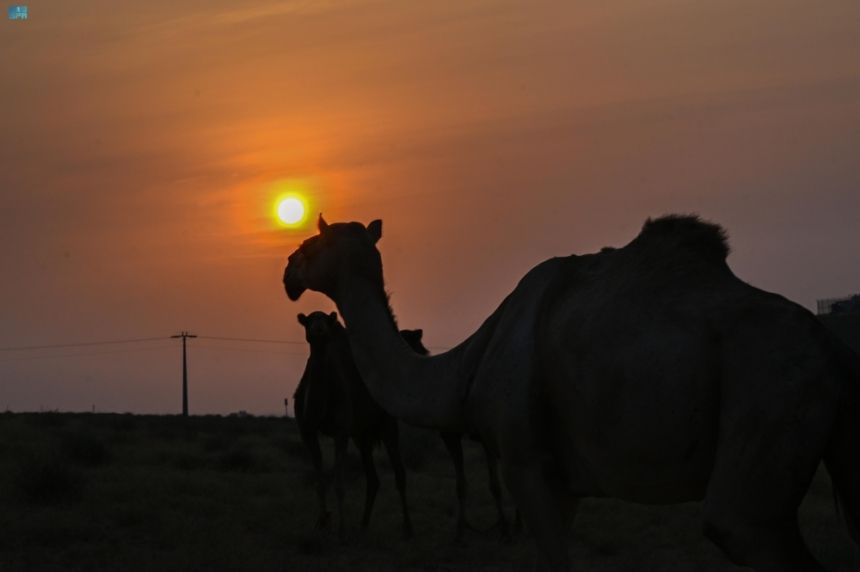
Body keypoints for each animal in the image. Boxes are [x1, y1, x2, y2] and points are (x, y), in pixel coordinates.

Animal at [292, 310, 414, 540]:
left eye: (326, 320)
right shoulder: (307, 431)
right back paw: (363, 525)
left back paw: (408, 528)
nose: (319, 328)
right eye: (309, 320)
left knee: (399, 471)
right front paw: (322, 523)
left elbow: (339, 482)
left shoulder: (341, 431)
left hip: (386, 422)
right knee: (373, 478)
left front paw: (341, 531)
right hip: (361, 434)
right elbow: (319, 481)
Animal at [402, 328, 512, 544]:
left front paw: (504, 527)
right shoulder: (449, 436)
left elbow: (494, 485)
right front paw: (461, 531)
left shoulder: (484, 438)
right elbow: (461, 485)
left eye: (406, 339)